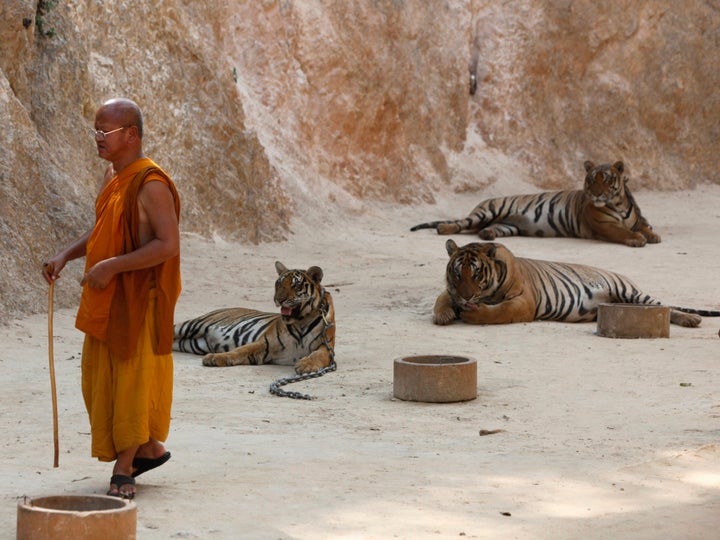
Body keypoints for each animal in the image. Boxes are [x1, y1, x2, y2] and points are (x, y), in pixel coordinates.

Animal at [173, 260, 336, 372]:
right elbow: (239, 350)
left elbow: (318, 355)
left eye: (296, 285)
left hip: (191, 343)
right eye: (279, 284)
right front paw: (215, 357)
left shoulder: (326, 346)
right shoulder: (265, 343)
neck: (301, 321)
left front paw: (306, 365)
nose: (278, 299)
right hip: (191, 325)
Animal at [414, 158, 660, 247]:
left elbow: (645, 226)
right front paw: (638, 239)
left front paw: (653, 236)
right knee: (461, 223)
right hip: (488, 211)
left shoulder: (637, 220)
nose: (597, 195)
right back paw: (444, 228)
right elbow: (622, 231)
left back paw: (487, 234)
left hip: (508, 226)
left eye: (606, 179)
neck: (619, 204)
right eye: (591, 180)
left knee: (485, 229)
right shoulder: (605, 225)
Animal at [434, 239, 720, 326]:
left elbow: (499, 312)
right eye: (457, 274)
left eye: (477, 274)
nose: (467, 297)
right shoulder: (451, 290)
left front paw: (473, 315)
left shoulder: (524, 301)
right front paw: (443, 315)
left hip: (629, 290)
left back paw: (691, 319)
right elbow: (442, 297)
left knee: (665, 306)